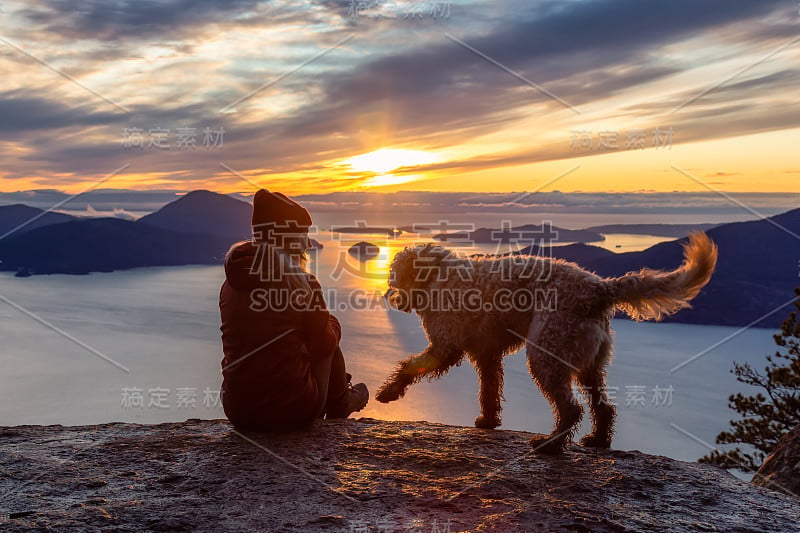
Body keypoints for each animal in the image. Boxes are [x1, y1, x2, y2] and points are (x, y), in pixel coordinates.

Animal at [376, 233, 720, 454]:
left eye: (395, 276)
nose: (388, 296)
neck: (439, 275)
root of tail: (599, 288)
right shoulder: (487, 355)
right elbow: (489, 391)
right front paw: (488, 421)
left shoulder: (445, 347)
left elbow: (410, 366)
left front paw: (389, 391)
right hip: (590, 364)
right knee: (603, 406)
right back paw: (598, 440)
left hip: (547, 356)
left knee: (571, 409)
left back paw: (550, 445)